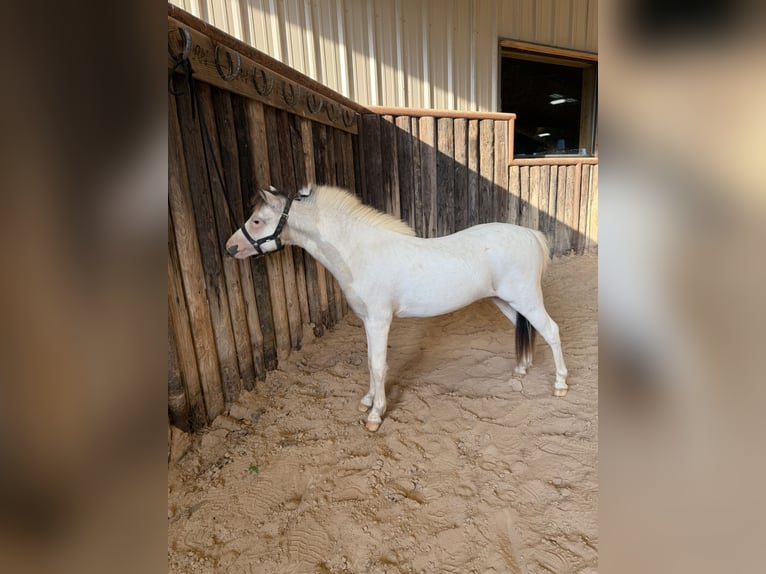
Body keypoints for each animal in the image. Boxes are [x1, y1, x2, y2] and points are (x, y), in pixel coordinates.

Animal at [225, 184, 568, 431]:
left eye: (257, 220)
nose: (230, 248)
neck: (361, 252)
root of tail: (531, 234)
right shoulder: (367, 321)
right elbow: (370, 363)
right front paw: (367, 401)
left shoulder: (379, 320)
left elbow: (379, 365)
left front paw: (376, 415)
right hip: (507, 301)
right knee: (528, 329)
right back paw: (521, 368)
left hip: (526, 299)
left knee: (551, 331)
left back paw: (560, 384)